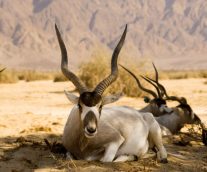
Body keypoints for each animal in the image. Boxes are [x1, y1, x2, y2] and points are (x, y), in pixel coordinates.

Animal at [55, 24, 168, 163]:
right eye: (80, 105)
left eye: (101, 106)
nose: (91, 129)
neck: (83, 145)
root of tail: (142, 114)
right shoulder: (68, 151)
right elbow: (68, 156)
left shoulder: (116, 140)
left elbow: (106, 160)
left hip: (155, 132)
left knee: (162, 152)